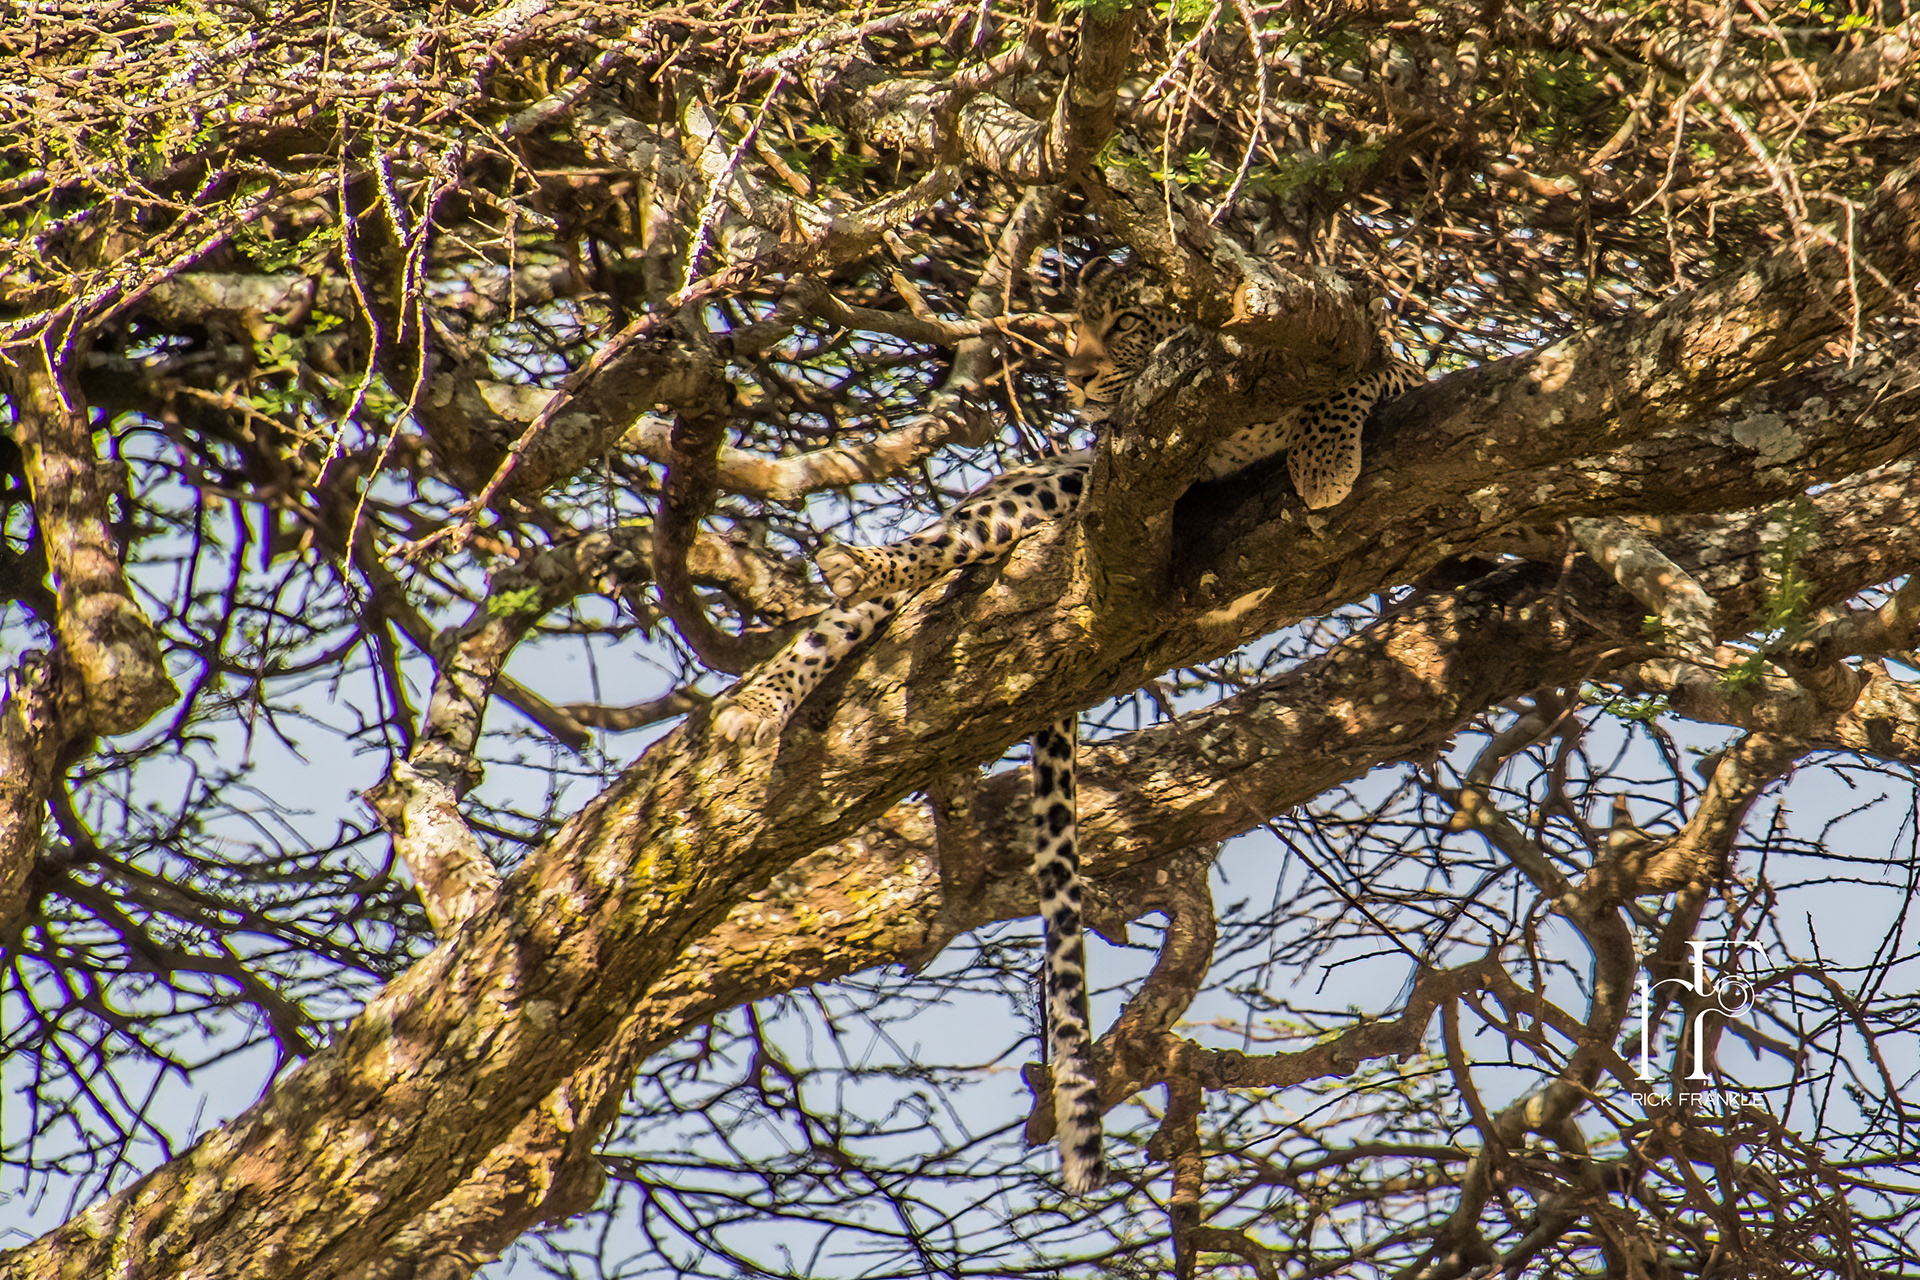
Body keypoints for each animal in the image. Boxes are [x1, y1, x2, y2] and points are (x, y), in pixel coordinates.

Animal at [714, 256, 1425, 1194]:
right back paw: (800, 644)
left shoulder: (1391, 368)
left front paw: (1322, 459)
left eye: (1123, 323)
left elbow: (1350, 385)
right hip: (1047, 487)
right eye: (1071, 328)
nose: (1078, 381)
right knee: (920, 558)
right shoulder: (1123, 473)